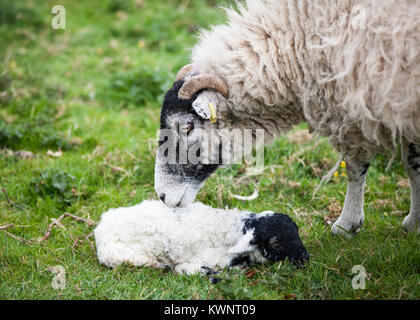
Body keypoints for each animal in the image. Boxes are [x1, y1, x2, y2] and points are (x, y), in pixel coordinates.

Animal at [94, 199, 308, 274]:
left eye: (296, 230)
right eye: (275, 242)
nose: (305, 258)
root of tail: (100, 228)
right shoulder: (199, 262)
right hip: (123, 255)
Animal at [154, 0, 420, 235]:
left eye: (187, 126)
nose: (162, 196)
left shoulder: (355, 105)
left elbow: (356, 167)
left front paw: (347, 224)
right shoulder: (401, 104)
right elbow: (412, 163)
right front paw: (414, 222)